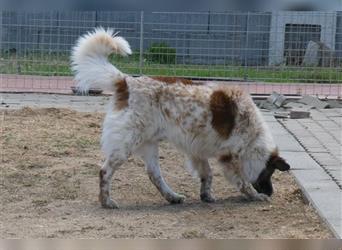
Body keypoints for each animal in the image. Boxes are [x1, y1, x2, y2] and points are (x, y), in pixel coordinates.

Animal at [71, 27, 290, 208]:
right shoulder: (229, 157)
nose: (271, 193)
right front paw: (254, 196)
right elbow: (242, 181)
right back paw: (107, 201)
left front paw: (206, 195)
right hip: (125, 144)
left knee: (154, 175)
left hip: (149, 144)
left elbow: (207, 174)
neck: (253, 136)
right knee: (105, 171)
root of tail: (126, 81)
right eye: (270, 173)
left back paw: (172, 197)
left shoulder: (197, 151)